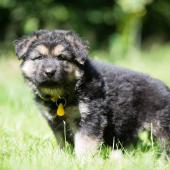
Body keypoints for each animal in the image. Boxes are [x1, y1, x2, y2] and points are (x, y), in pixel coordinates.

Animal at [14, 29, 170, 157]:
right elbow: (62, 141)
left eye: (62, 58)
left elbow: (85, 142)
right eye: (39, 57)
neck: (63, 95)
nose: (49, 72)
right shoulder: (55, 122)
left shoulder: (91, 117)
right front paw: (63, 157)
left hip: (163, 127)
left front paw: (83, 160)